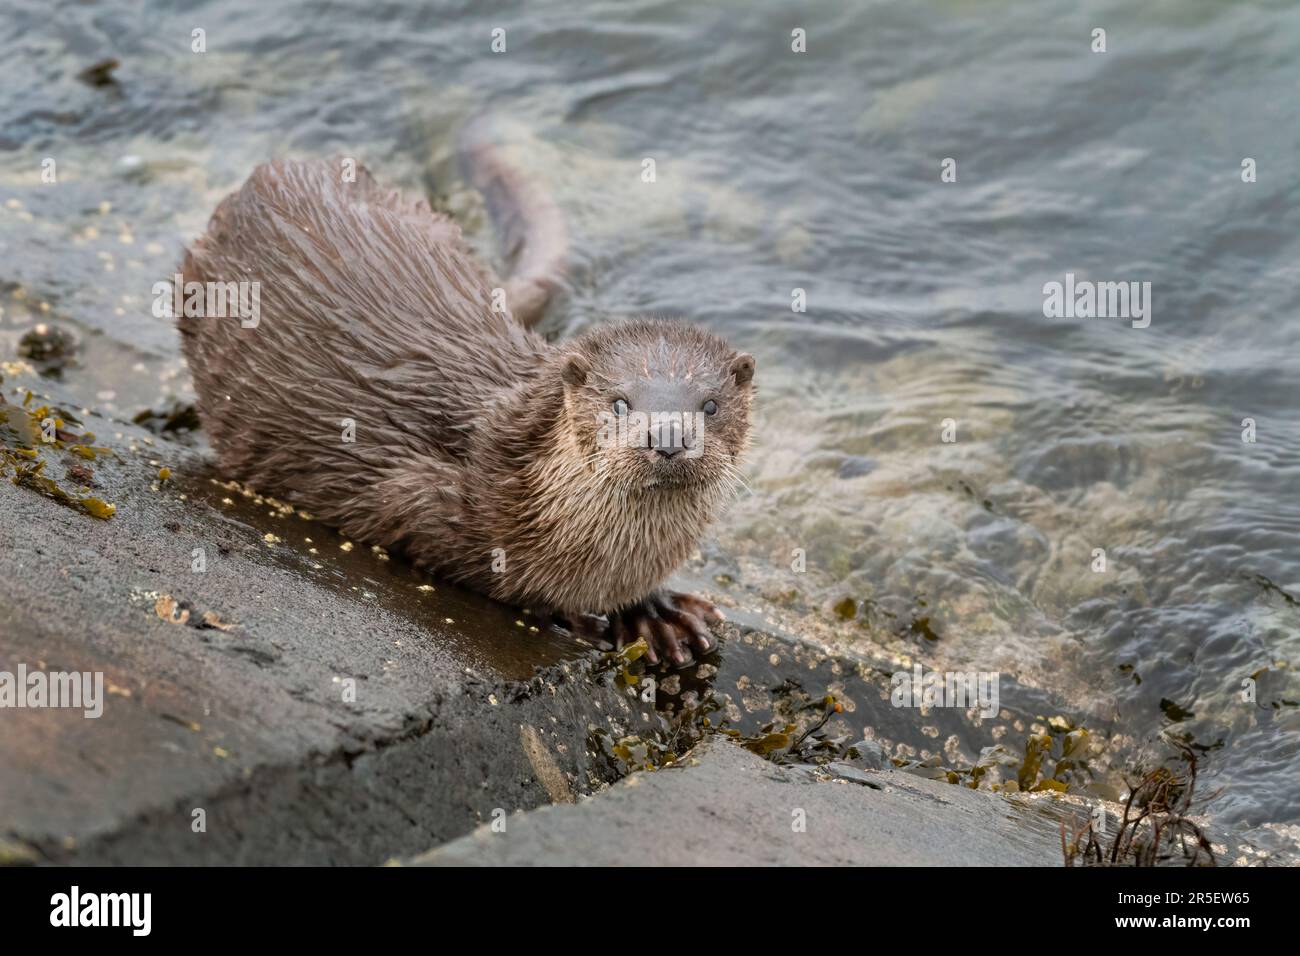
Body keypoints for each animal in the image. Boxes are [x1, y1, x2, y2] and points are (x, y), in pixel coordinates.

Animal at [178, 140, 759, 665]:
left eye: (709, 405)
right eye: (620, 402)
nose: (669, 435)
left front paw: (654, 611)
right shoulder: (417, 496)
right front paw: (570, 614)